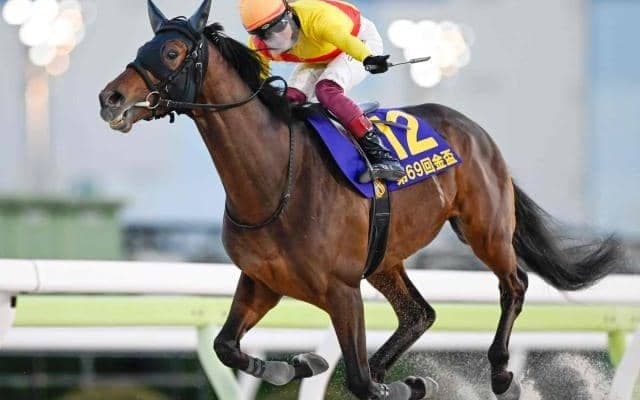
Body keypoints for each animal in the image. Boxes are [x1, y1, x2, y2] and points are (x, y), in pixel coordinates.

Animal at [98, 1, 624, 399]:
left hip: (486, 228)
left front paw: (398, 383)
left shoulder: (342, 290)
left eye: (171, 52)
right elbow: (226, 346)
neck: (275, 180)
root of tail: (476, 131)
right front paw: (297, 365)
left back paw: (499, 373)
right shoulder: (262, 280)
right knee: (420, 314)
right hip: (385, 258)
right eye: (141, 49)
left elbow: (358, 381)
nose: (110, 99)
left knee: (514, 284)